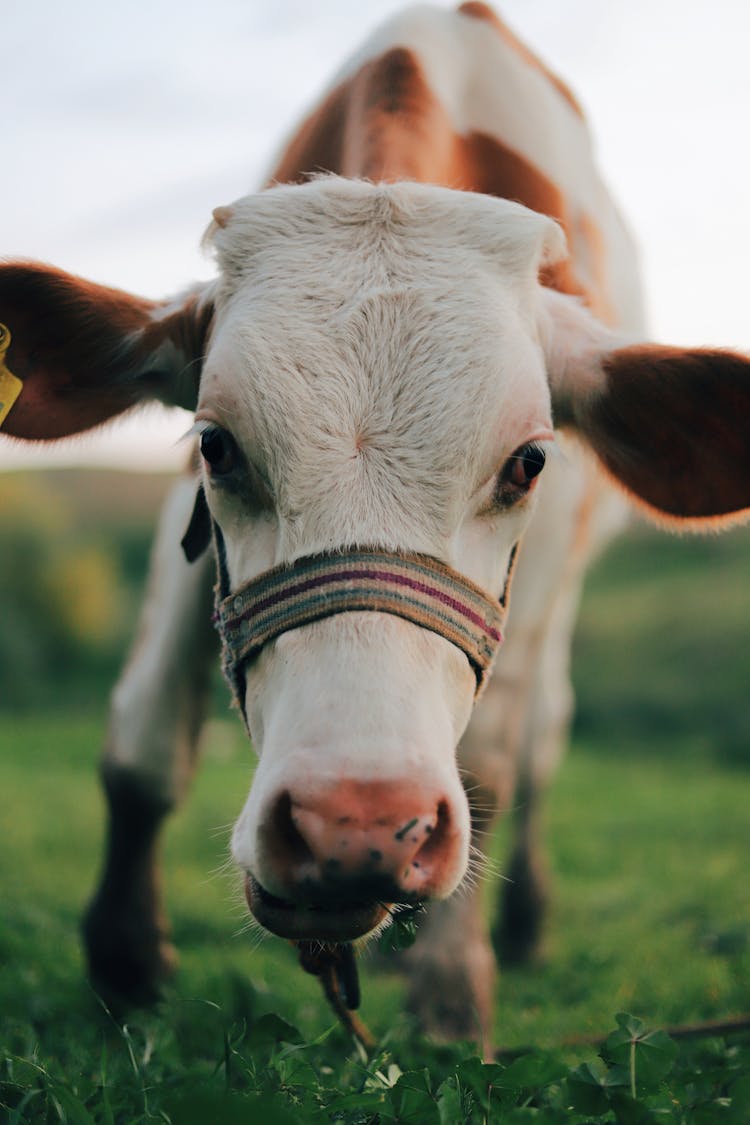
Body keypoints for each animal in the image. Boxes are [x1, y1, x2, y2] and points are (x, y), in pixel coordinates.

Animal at [1, 0, 750, 1039]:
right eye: (217, 445)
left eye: (528, 461)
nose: (349, 824)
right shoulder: (182, 517)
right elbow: (143, 735)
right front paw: (124, 958)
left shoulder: (547, 550)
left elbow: (494, 762)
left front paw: (452, 991)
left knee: (545, 733)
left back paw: (520, 922)